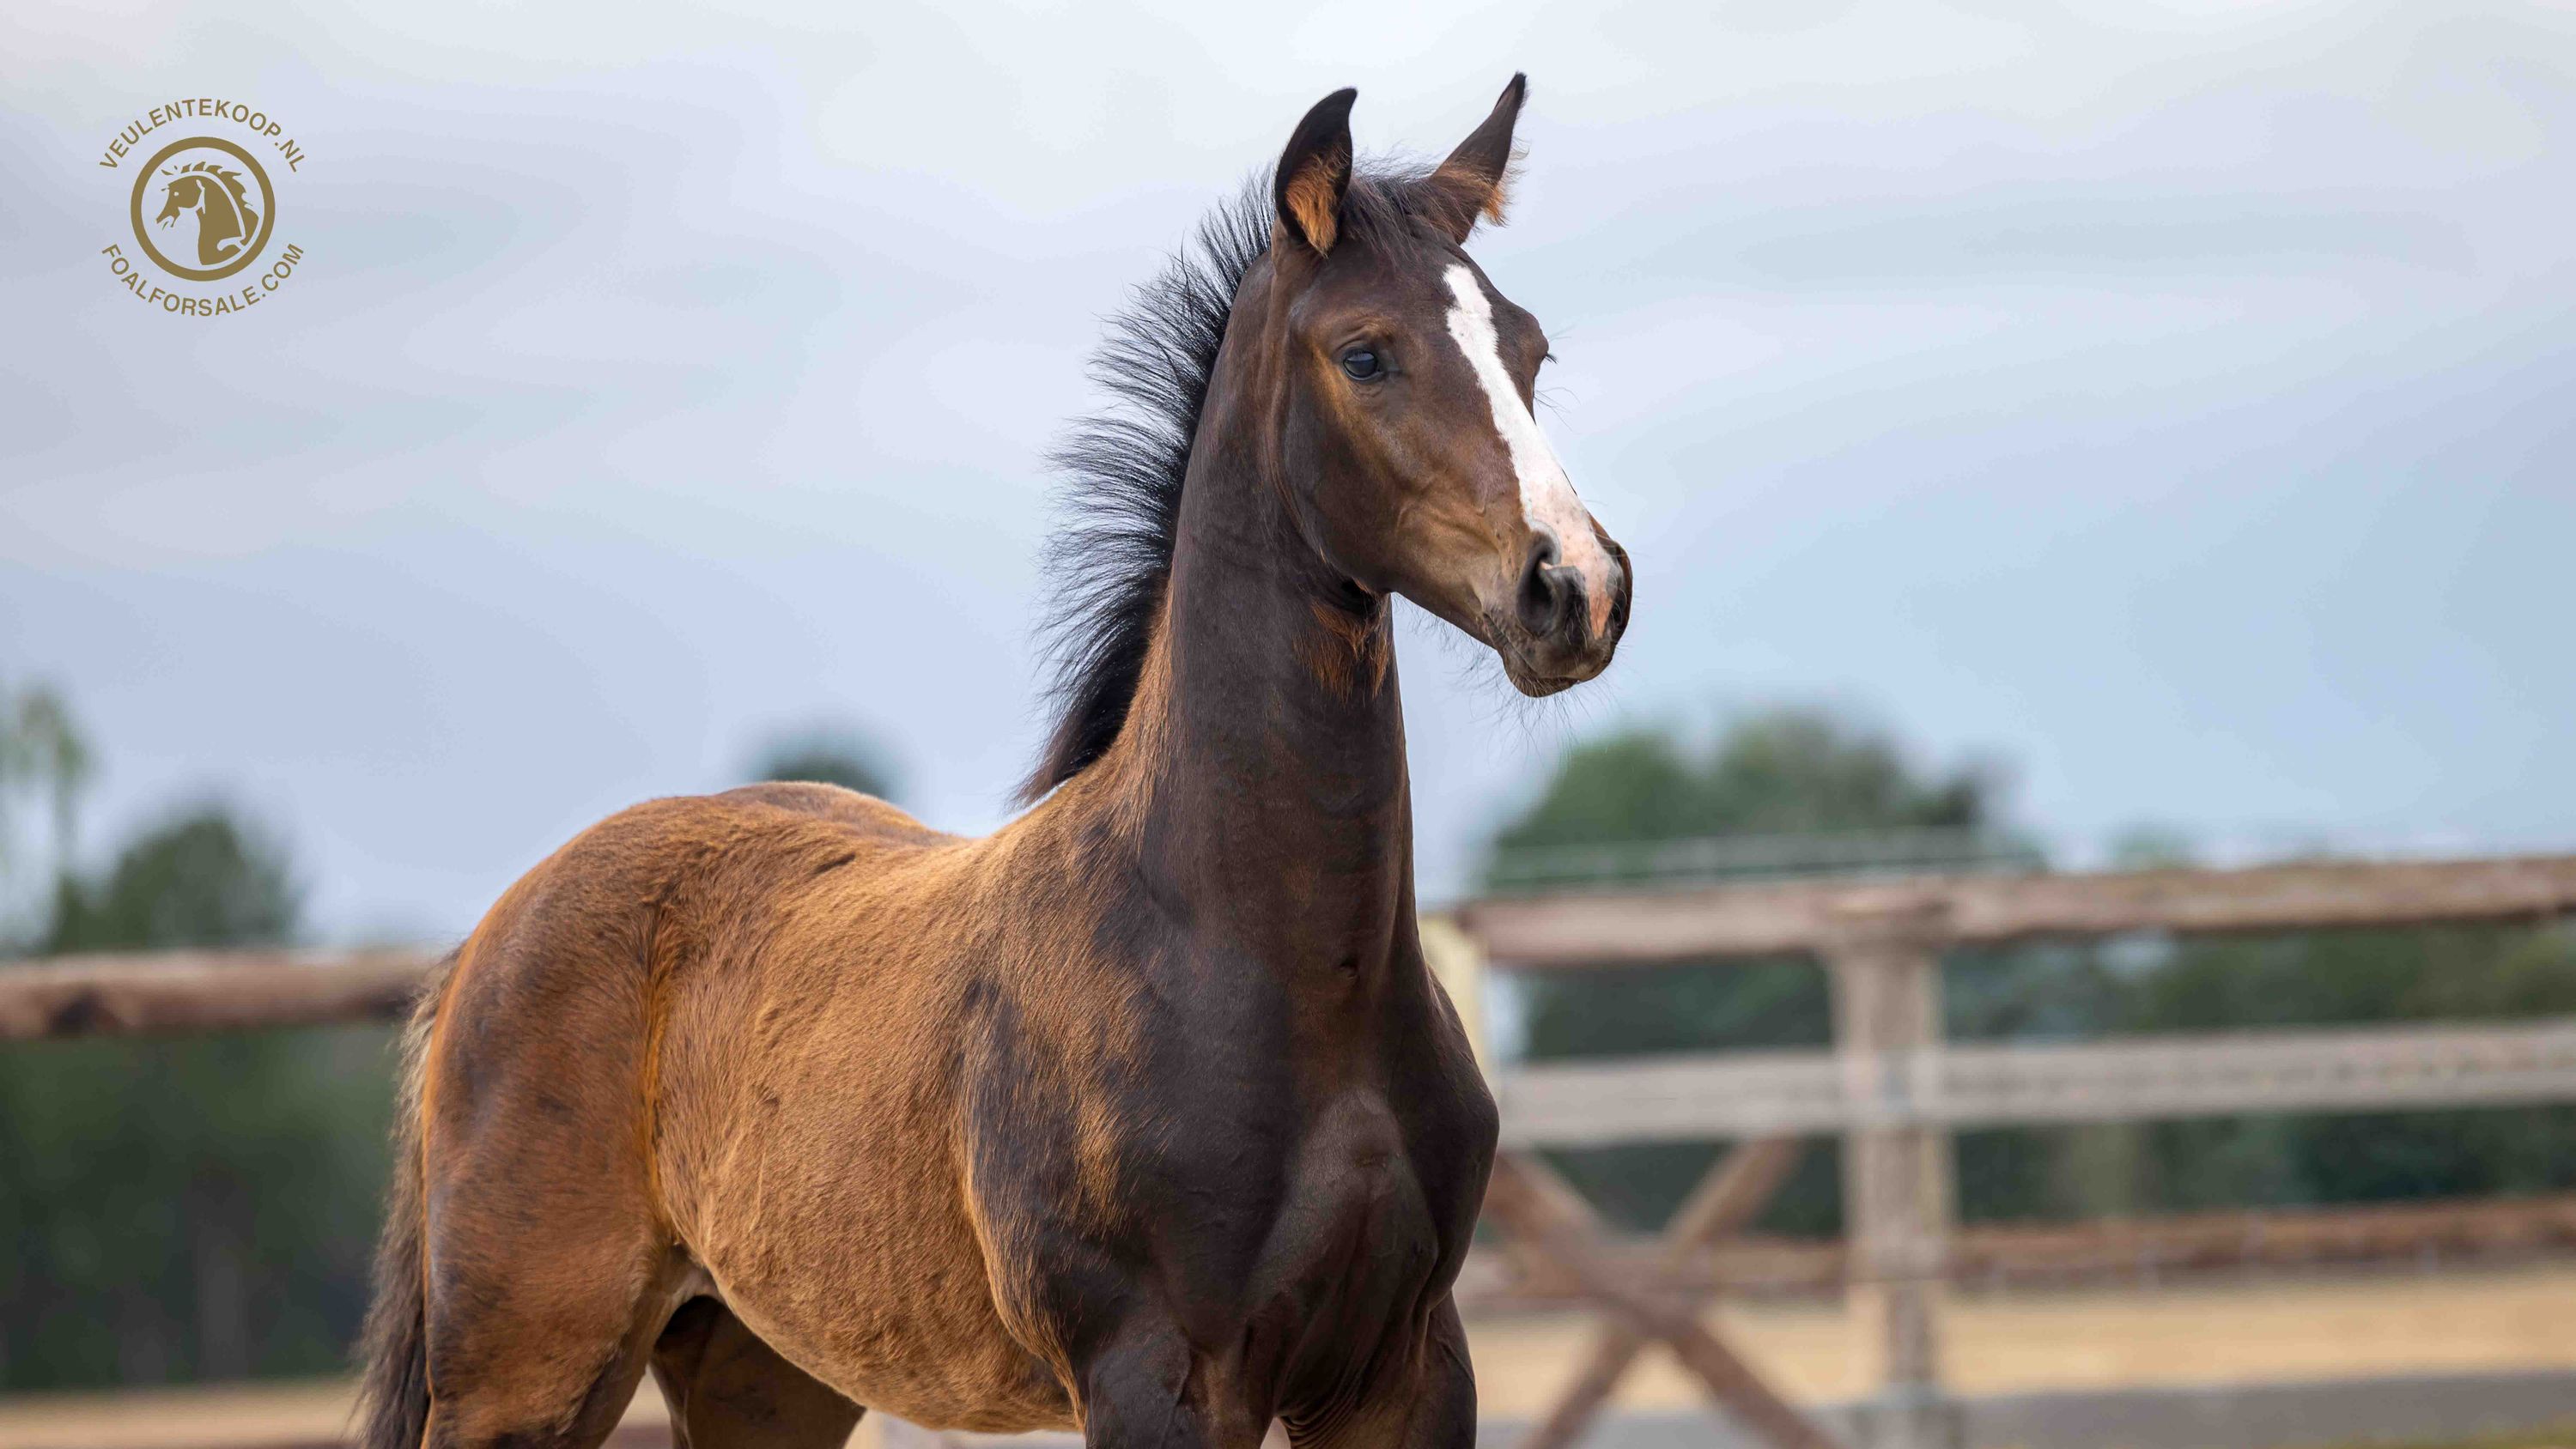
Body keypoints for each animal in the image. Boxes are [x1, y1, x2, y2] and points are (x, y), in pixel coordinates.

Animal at [356, 75, 1631, 1449]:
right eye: (1366, 354)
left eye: (1531, 351)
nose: (1575, 587)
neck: (1257, 954)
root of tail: (483, 945)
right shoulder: (1155, 1375)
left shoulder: (1404, 1368)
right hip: (520, 1378)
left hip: (764, 1370)